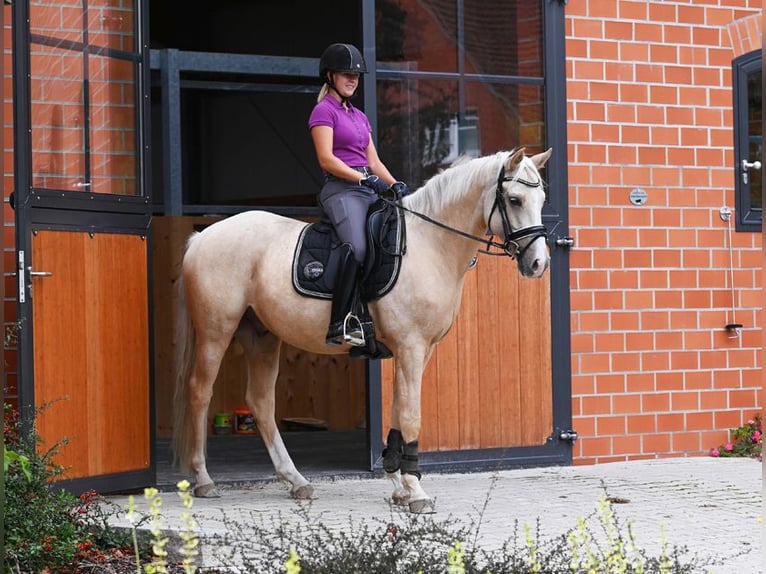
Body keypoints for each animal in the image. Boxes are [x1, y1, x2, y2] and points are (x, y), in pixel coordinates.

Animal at [176, 147, 552, 512]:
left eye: (542, 200)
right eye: (515, 200)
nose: (538, 264)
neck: (429, 245)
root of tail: (201, 237)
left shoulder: (419, 350)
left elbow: (399, 410)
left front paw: (398, 484)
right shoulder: (411, 346)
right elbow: (411, 414)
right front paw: (415, 491)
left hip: (262, 335)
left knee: (261, 402)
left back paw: (296, 480)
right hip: (216, 330)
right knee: (200, 392)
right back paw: (204, 479)